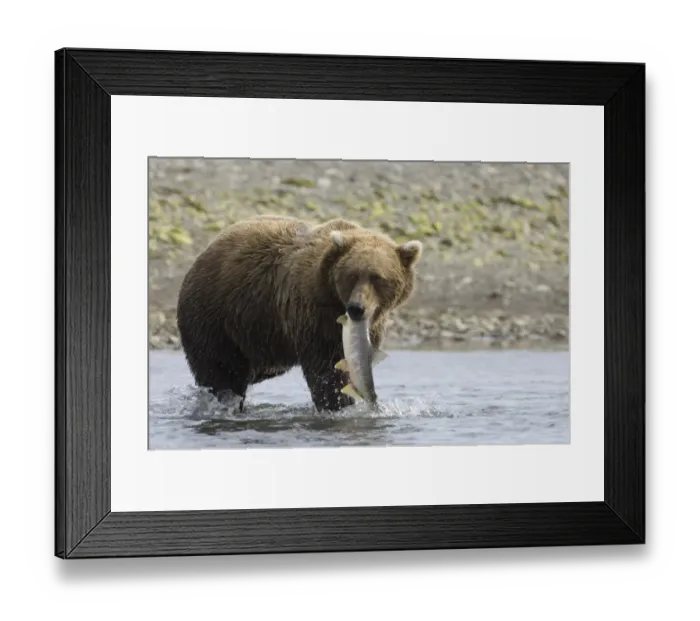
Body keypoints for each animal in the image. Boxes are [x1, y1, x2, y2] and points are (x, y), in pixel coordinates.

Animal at [175, 215, 423, 412]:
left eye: (378, 278)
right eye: (352, 275)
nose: (356, 308)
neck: (332, 299)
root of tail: (201, 255)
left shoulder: (373, 325)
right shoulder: (311, 313)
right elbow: (326, 371)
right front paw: (337, 405)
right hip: (216, 316)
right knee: (221, 371)